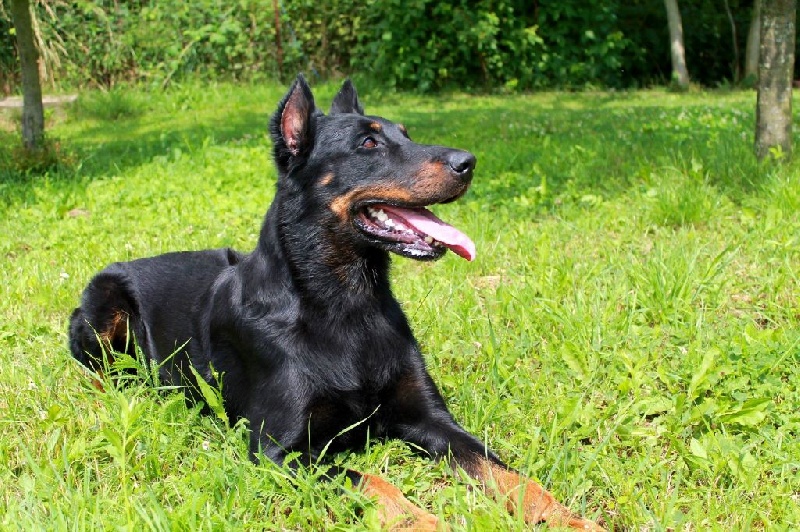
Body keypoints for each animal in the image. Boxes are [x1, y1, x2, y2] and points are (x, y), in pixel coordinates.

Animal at [69, 75, 603, 530]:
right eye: (368, 144)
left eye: (406, 134)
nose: (469, 162)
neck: (346, 303)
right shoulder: (278, 452)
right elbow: (372, 482)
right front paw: (423, 519)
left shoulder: (431, 420)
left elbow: (510, 475)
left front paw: (570, 518)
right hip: (101, 308)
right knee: (98, 370)